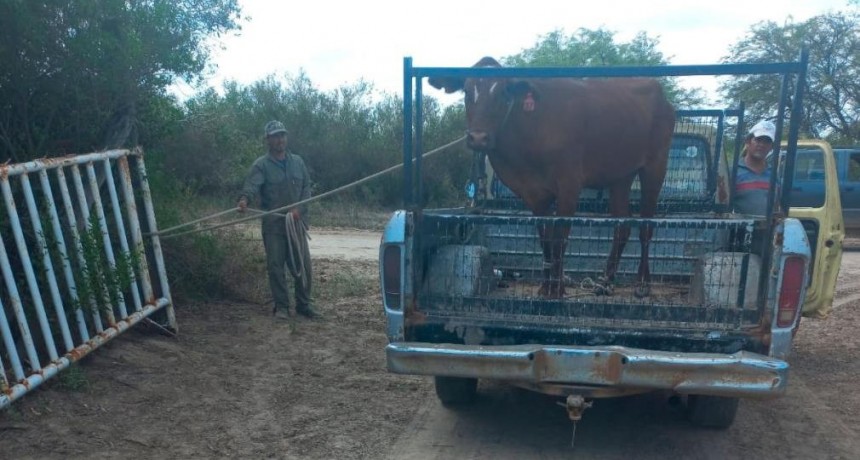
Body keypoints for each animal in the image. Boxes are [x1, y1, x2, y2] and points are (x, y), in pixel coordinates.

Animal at [426, 56, 676, 298]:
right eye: (467, 92)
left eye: (504, 92)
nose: (478, 138)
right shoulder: (533, 193)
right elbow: (545, 238)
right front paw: (546, 287)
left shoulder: (569, 184)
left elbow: (559, 237)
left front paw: (557, 288)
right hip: (621, 175)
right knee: (622, 226)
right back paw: (605, 282)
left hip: (655, 166)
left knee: (646, 226)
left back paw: (642, 284)